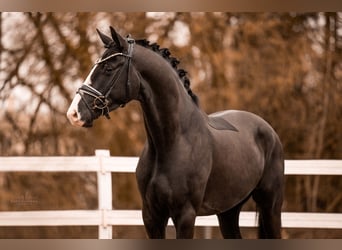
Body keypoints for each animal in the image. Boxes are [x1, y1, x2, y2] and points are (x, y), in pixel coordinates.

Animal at [66, 26, 284, 238]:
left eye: (108, 68)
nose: (74, 113)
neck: (172, 143)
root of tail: (268, 130)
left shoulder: (185, 216)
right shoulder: (151, 217)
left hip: (270, 207)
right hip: (228, 211)